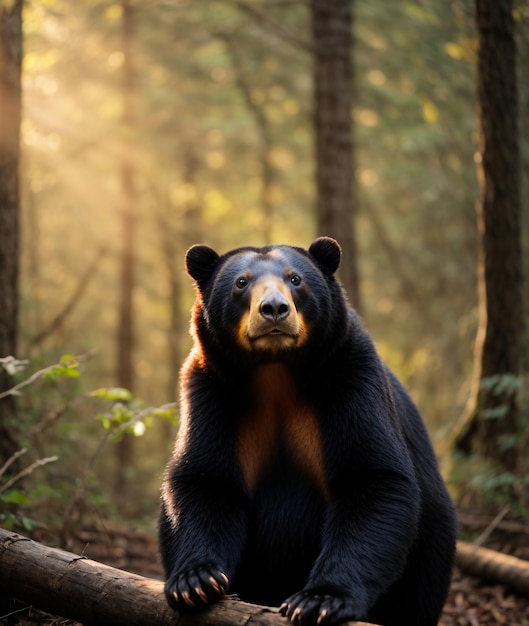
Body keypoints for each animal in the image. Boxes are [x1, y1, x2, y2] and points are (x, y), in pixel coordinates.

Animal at [159, 235, 456, 624]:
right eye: (242, 282)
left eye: (295, 279)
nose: (274, 309)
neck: (275, 372)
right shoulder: (211, 389)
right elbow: (206, 479)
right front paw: (196, 581)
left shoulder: (349, 375)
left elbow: (373, 478)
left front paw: (320, 599)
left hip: (431, 547)